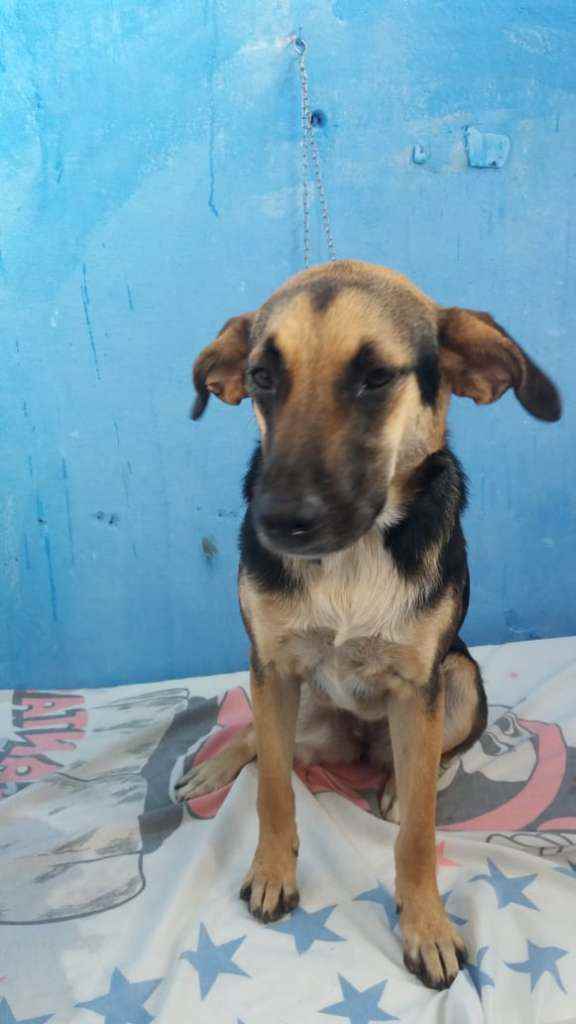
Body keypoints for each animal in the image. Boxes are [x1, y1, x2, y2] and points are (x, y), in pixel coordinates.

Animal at [178, 260, 561, 989]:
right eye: (261, 376)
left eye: (378, 377)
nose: (276, 521)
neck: (353, 558)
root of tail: (357, 741)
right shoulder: (271, 665)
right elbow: (273, 790)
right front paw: (272, 869)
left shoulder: (419, 686)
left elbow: (418, 837)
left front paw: (426, 925)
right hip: (296, 702)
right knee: (267, 744)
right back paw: (218, 766)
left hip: (459, 681)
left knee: (436, 756)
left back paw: (403, 783)